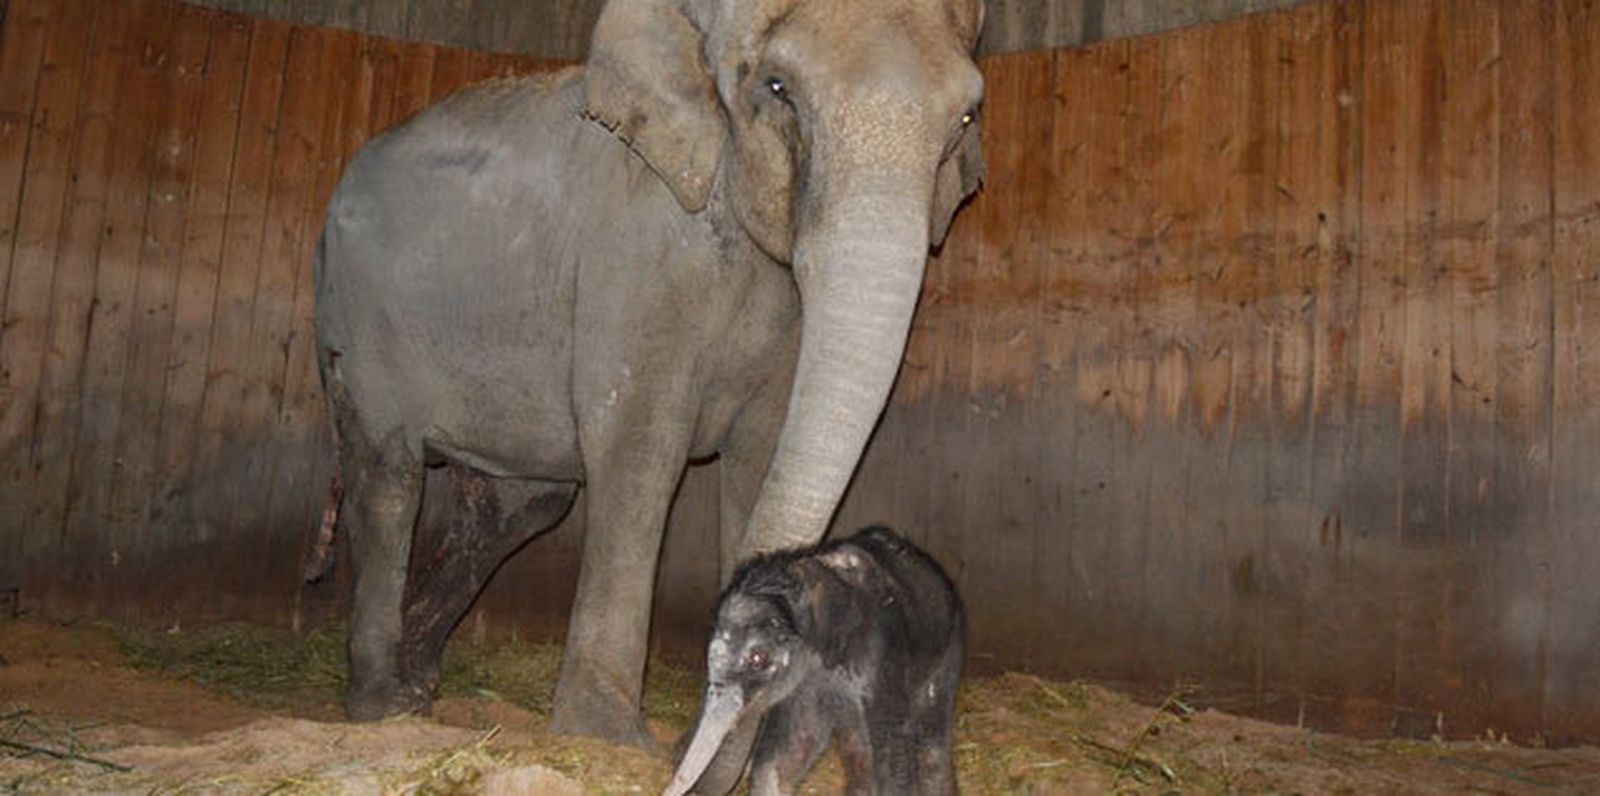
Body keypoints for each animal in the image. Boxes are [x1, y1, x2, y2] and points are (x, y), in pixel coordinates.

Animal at [311, 0, 986, 744]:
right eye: (778, 88)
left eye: (965, 118)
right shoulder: (636, 254)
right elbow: (640, 450)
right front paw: (606, 733)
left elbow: (761, 455)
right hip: (360, 319)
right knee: (390, 480)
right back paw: (382, 707)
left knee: (517, 505)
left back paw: (420, 688)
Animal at [666, 526, 965, 796]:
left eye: (758, 658)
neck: (809, 574)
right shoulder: (807, 678)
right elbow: (789, 750)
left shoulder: (882, 655)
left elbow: (891, 750)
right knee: (858, 745)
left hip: (949, 650)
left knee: (931, 738)